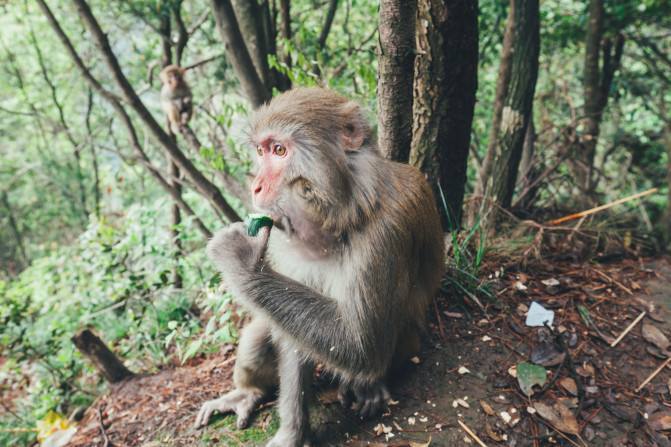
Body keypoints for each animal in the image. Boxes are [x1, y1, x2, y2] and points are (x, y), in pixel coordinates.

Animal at [194, 87, 446, 447]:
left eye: (280, 150)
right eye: (261, 151)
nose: (256, 186)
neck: (349, 213)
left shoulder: (386, 235)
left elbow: (361, 343)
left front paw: (242, 262)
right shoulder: (289, 249)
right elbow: (293, 338)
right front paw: (292, 432)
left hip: (410, 344)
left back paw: (366, 386)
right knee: (265, 327)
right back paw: (248, 392)